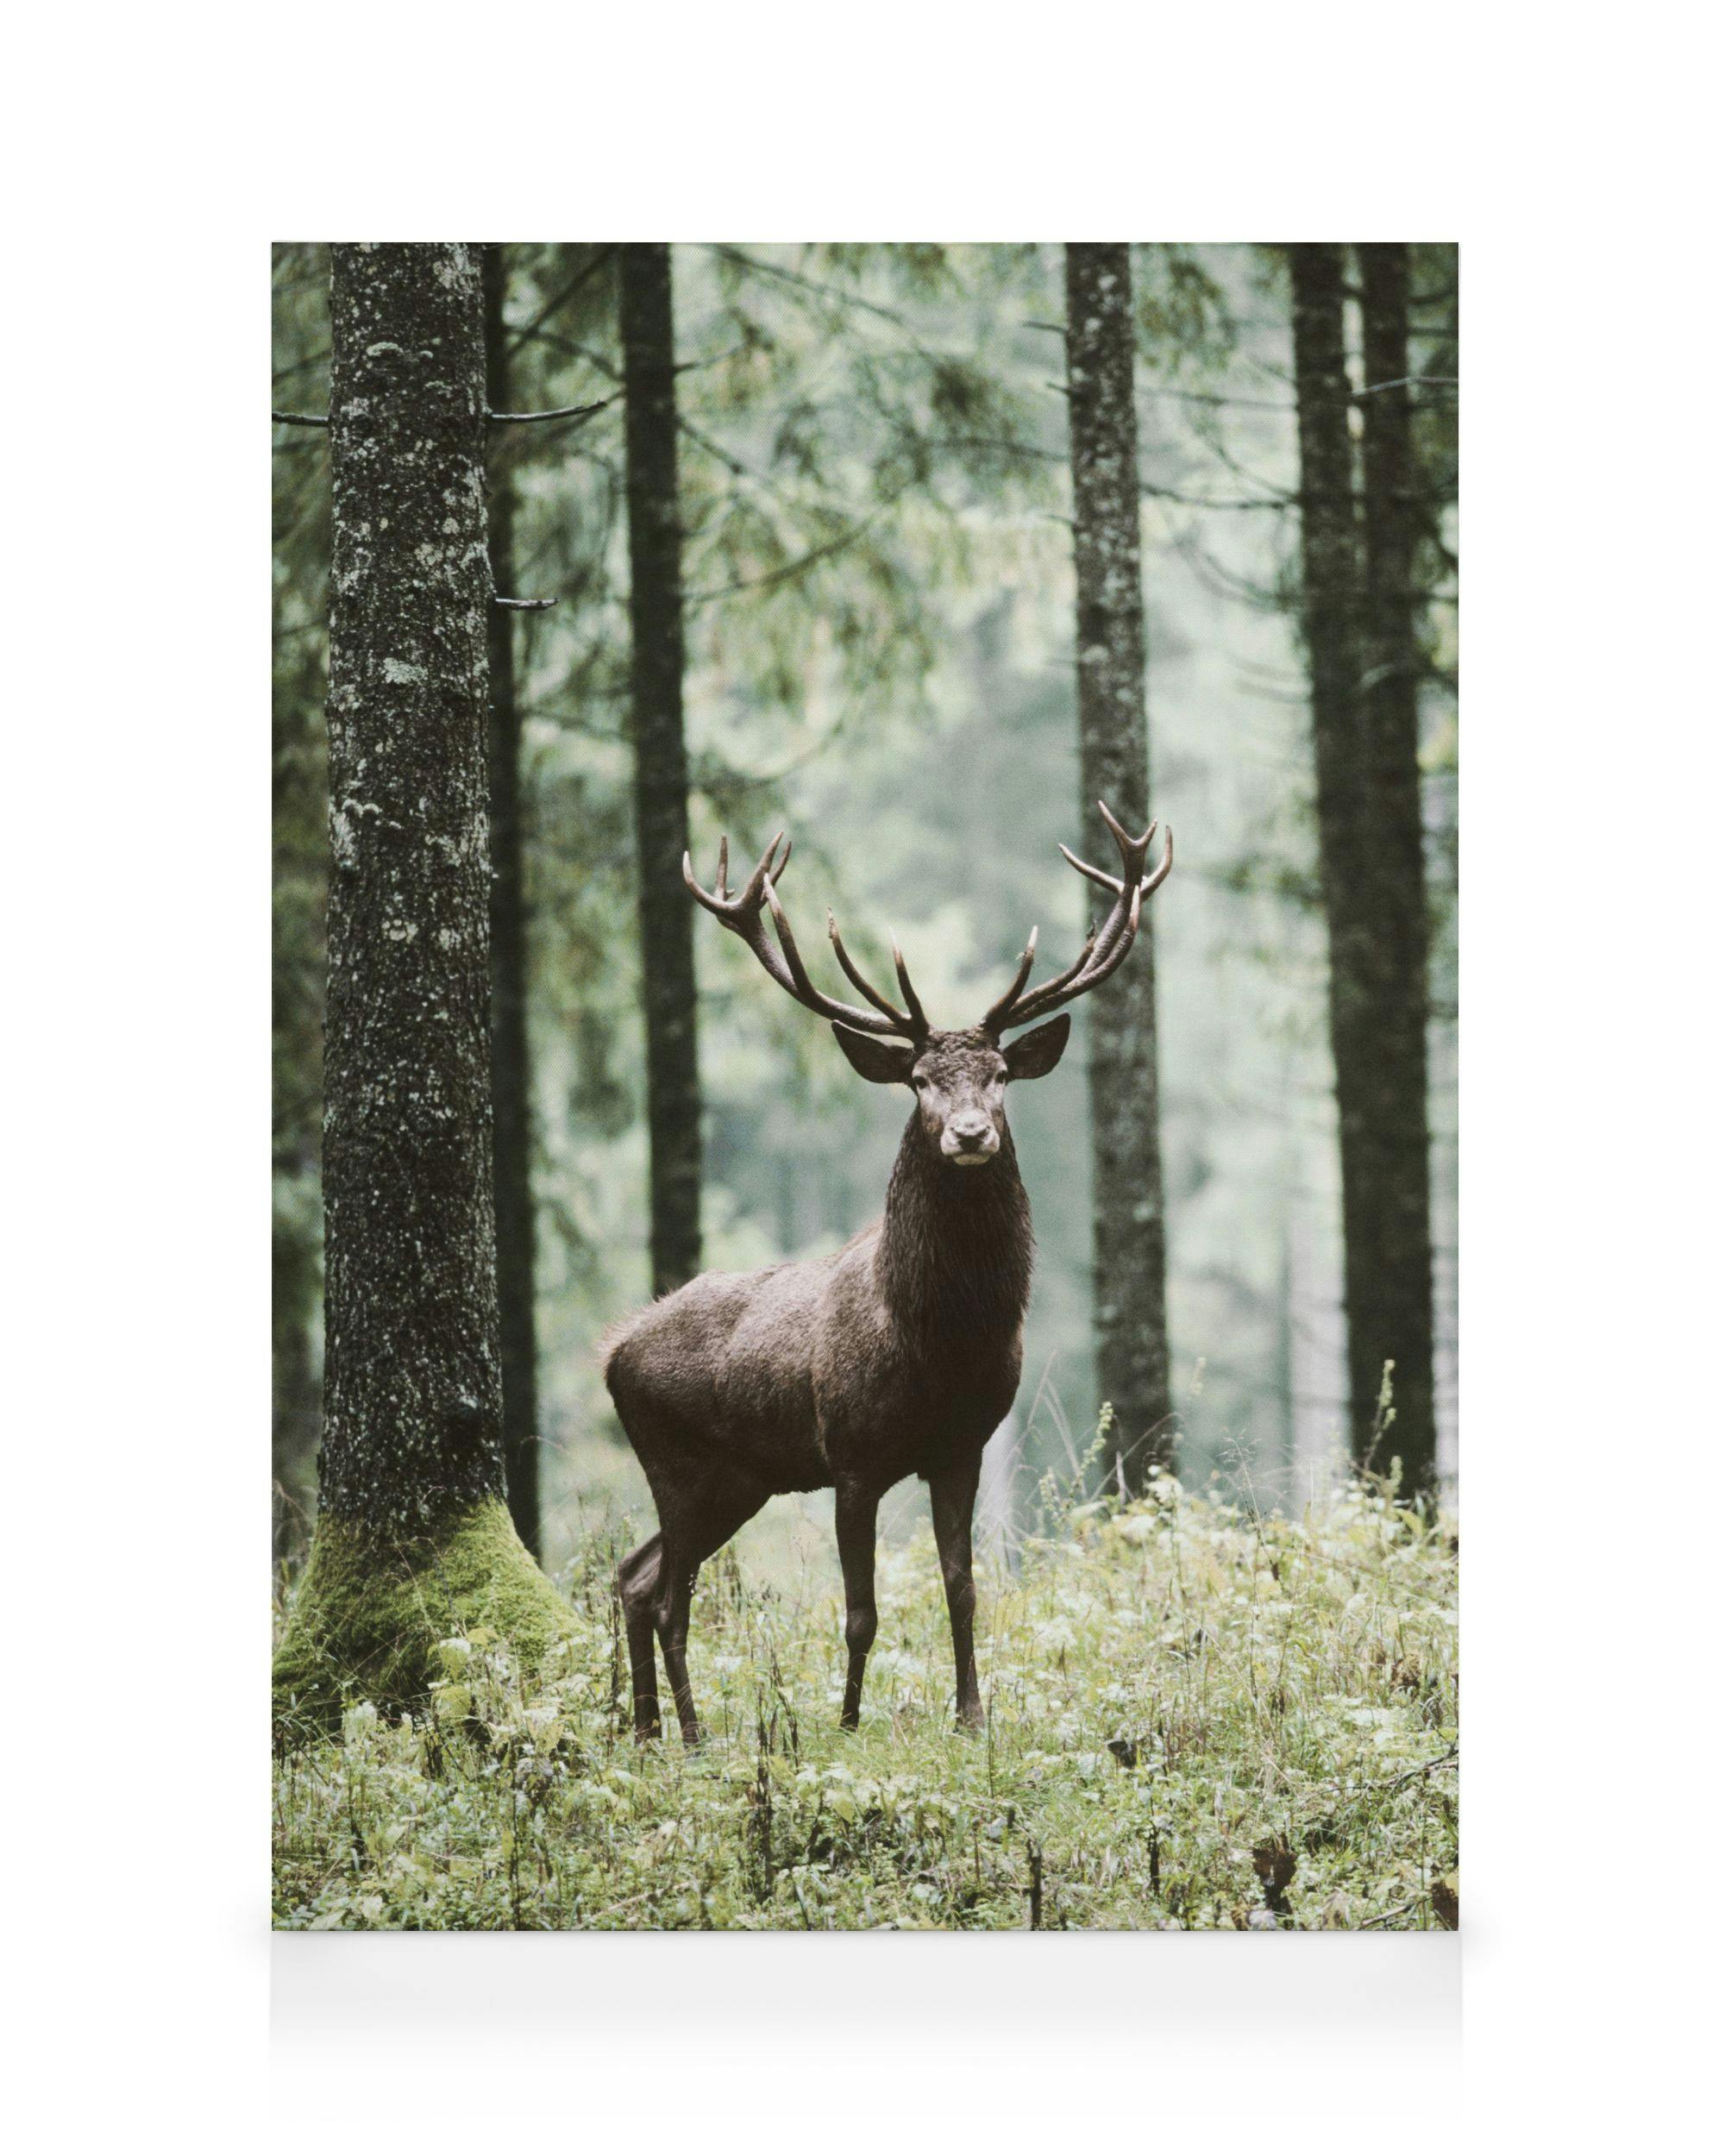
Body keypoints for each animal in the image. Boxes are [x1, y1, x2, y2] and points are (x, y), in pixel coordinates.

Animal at [603, 801, 1173, 1744]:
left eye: (1000, 1073)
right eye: (918, 1079)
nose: (971, 1133)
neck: (937, 1344)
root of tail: (610, 1352)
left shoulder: (962, 1448)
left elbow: (963, 1589)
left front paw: (971, 1716)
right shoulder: (853, 1455)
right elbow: (859, 1610)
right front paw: (845, 1723)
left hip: (737, 1479)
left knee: (632, 1577)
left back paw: (649, 1732)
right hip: (678, 1462)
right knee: (666, 1593)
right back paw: (687, 1735)